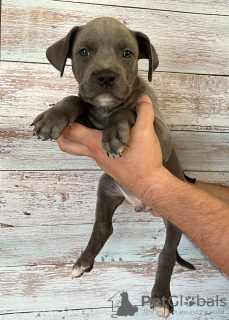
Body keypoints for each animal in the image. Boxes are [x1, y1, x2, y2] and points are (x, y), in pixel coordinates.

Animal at [32, 18, 195, 320]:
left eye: (127, 53)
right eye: (83, 52)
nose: (106, 77)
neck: (105, 110)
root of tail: (141, 203)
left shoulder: (160, 134)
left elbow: (127, 111)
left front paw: (115, 132)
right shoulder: (86, 120)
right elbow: (75, 98)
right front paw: (52, 116)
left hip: (174, 215)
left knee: (167, 253)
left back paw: (160, 298)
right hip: (106, 187)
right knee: (103, 227)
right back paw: (83, 262)